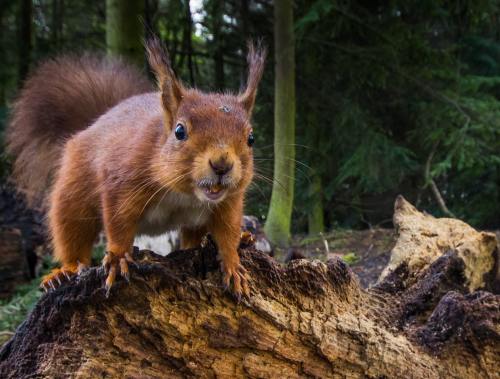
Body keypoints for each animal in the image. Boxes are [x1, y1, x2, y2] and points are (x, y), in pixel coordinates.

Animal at [6, 38, 266, 300]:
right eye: (179, 131)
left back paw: (241, 238)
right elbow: (119, 222)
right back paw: (63, 272)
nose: (222, 164)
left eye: (251, 138)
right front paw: (119, 257)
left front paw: (233, 265)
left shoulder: (228, 201)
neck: (185, 194)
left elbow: (227, 232)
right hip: (73, 192)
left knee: (192, 240)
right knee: (72, 234)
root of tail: (96, 121)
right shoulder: (123, 180)